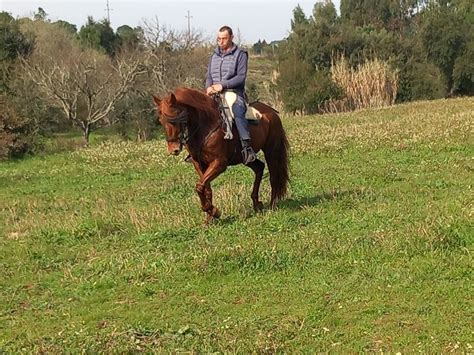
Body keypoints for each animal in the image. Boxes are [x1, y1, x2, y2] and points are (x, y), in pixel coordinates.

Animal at [154, 87, 290, 224]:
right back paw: (257, 204)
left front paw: (214, 211)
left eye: (177, 116)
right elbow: (205, 188)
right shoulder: (199, 164)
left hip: (272, 151)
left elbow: (199, 186)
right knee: (259, 168)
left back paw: (272, 205)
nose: (174, 149)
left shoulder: (219, 164)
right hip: (245, 159)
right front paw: (210, 216)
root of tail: (271, 111)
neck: (205, 127)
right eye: (161, 120)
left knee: (274, 175)